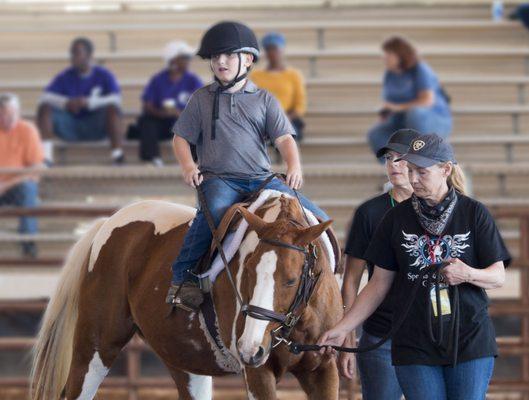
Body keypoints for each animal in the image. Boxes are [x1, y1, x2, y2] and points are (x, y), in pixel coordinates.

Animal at [29, 192, 342, 398]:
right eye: (248, 272)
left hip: (184, 362)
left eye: (290, 279)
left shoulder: (323, 370)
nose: (251, 349)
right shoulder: (258, 374)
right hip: (95, 347)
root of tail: (105, 225)